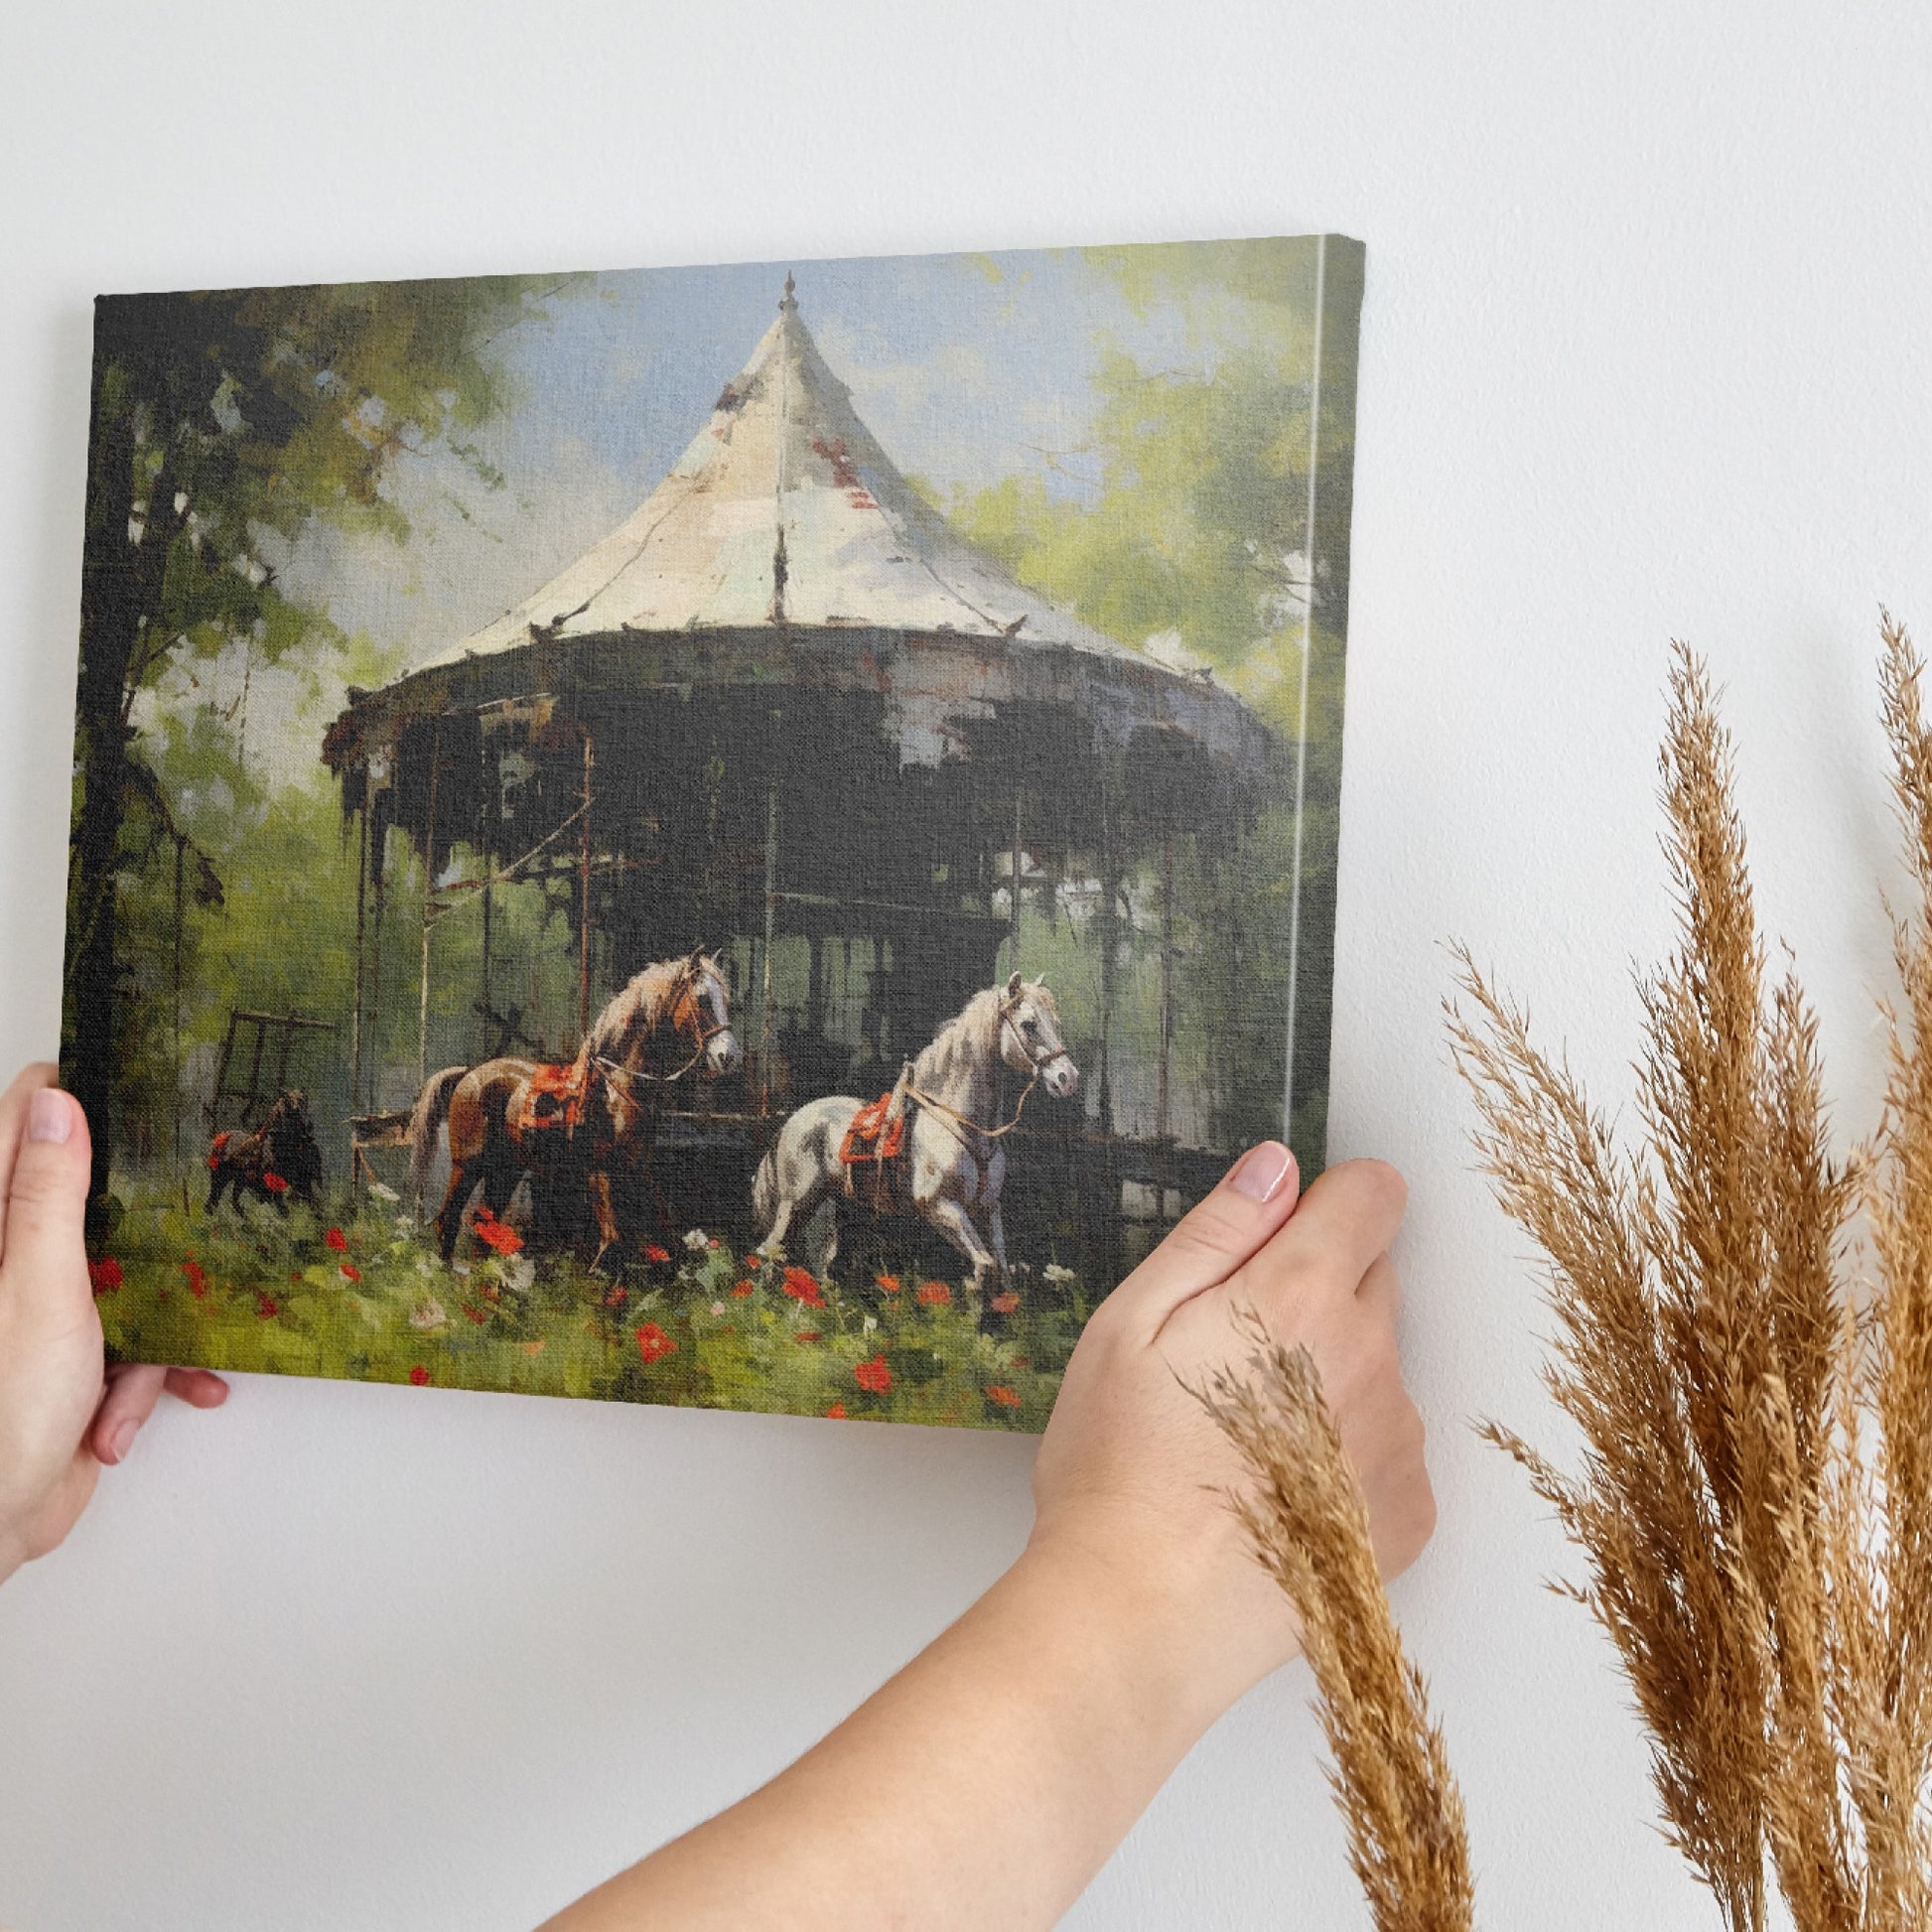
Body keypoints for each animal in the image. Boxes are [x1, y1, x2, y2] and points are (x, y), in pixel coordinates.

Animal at [407, 950, 738, 1267]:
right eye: (702, 998)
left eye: (726, 1001)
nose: (728, 1056)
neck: (615, 1087)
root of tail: (468, 1074)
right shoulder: (599, 1170)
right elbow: (612, 1244)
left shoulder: (636, 1168)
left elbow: (668, 1236)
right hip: (468, 1165)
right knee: (448, 1221)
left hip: (507, 1168)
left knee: (484, 1227)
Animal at [750, 981, 1081, 1298]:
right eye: (1029, 1024)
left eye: (1055, 1022)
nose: (1067, 1078)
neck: (962, 1126)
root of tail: (791, 1121)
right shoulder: (940, 1207)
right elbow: (984, 1265)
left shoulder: (988, 1209)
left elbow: (1000, 1270)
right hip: (795, 1203)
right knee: (772, 1251)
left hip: (831, 1204)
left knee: (820, 1260)